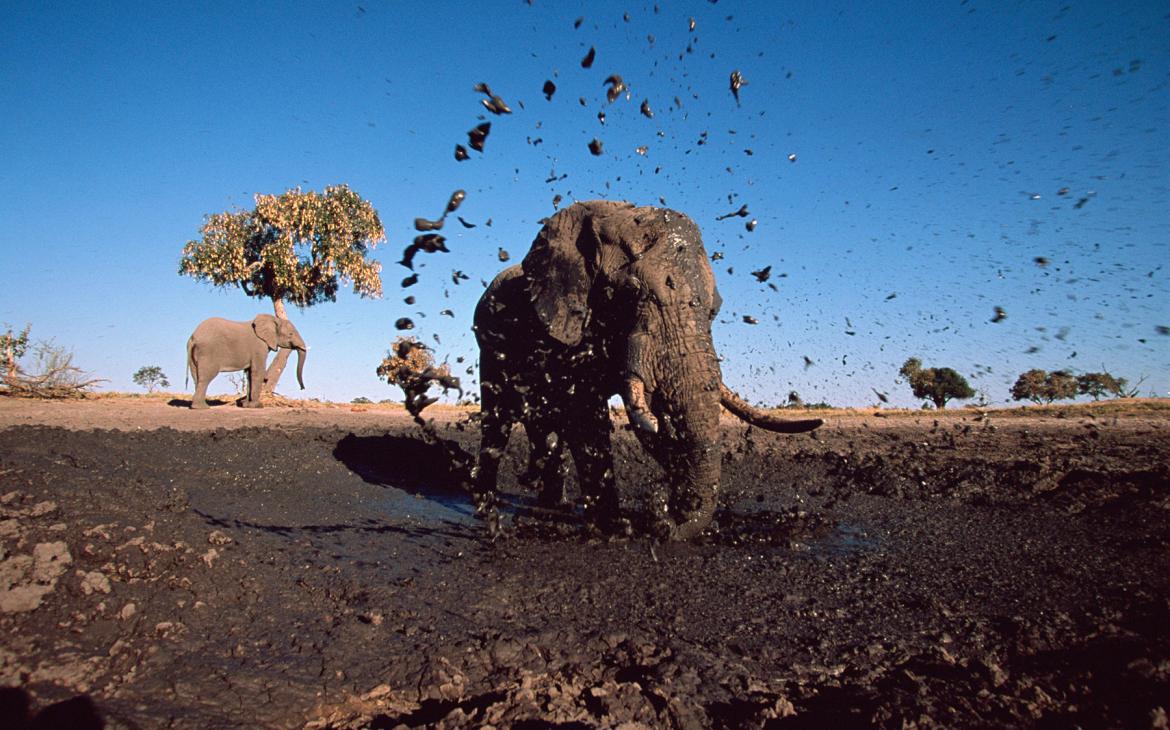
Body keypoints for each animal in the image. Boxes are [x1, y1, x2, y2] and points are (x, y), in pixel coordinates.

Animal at [475, 202, 823, 538]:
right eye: (630, 293)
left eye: (715, 309)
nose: (663, 518)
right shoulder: (569, 328)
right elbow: (586, 419)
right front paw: (615, 529)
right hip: (490, 350)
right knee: (498, 423)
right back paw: (489, 515)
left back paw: (552, 507)